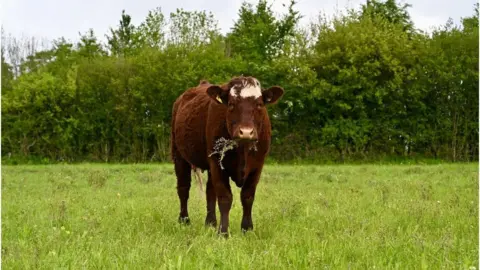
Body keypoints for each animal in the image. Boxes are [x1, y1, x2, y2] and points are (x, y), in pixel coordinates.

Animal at [172, 76, 284, 236]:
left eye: (259, 104)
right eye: (231, 104)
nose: (246, 132)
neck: (242, 151)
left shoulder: (257, 166)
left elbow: (247, 196)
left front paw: (247, 229)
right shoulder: (218, 164)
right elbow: (225, 197)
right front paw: (223, 232)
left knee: (210, 191)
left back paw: (210, 223)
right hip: (178, 155)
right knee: (183, 188)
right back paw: (184, 220)